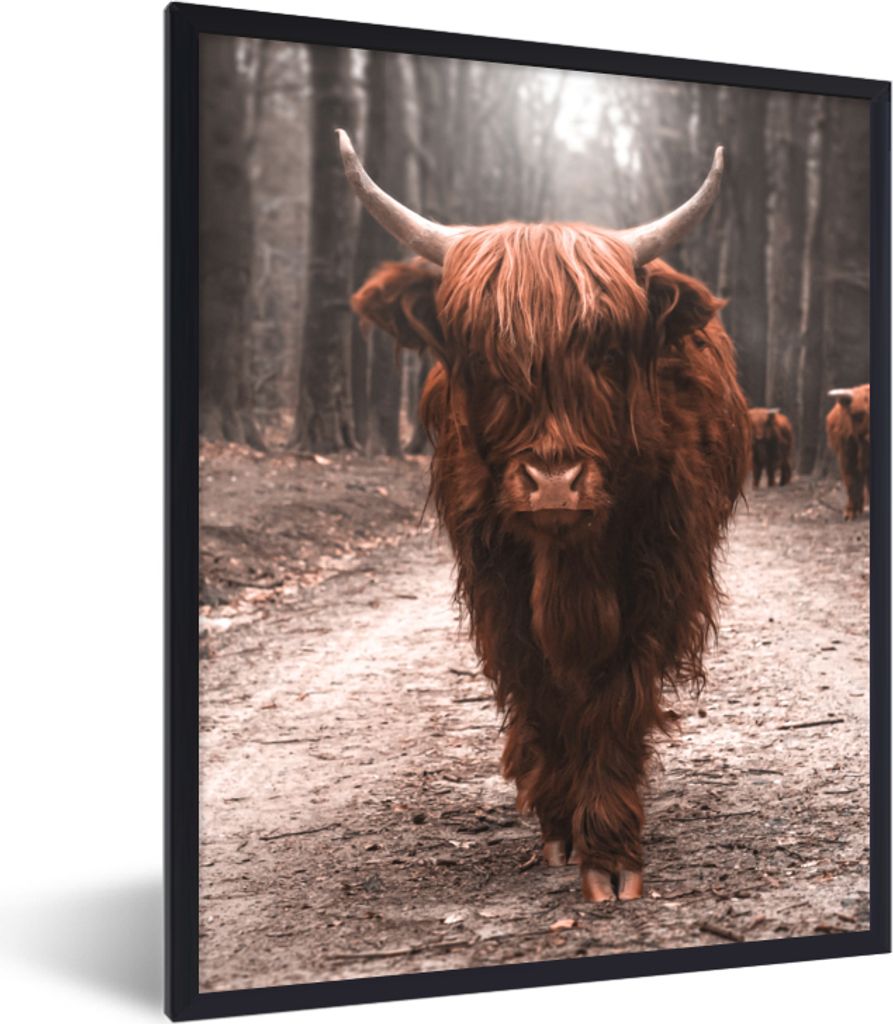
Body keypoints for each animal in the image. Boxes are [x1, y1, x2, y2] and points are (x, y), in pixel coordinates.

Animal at [340, 130, 750, 902]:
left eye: (608, 351)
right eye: (481, 357)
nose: (554, 482)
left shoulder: (656, 577)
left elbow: (615, 695)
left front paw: (611, 853)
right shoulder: (496, 587)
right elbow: (542, 695)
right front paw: (562, 828)